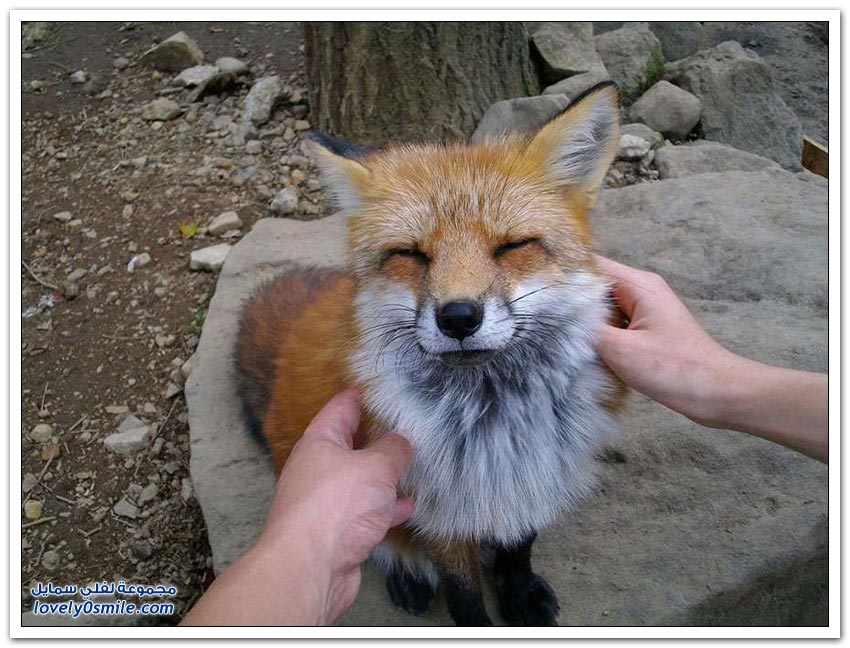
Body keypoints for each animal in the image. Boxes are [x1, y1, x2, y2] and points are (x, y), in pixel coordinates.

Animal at [234, 82, 626, 626]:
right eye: (410, 255)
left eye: (512, 247)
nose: (458, 317)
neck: (492, 423)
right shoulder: (433, 508)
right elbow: (463, 594)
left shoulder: (536, 471)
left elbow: (519, 546)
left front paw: (520, 594)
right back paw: (407, 576)